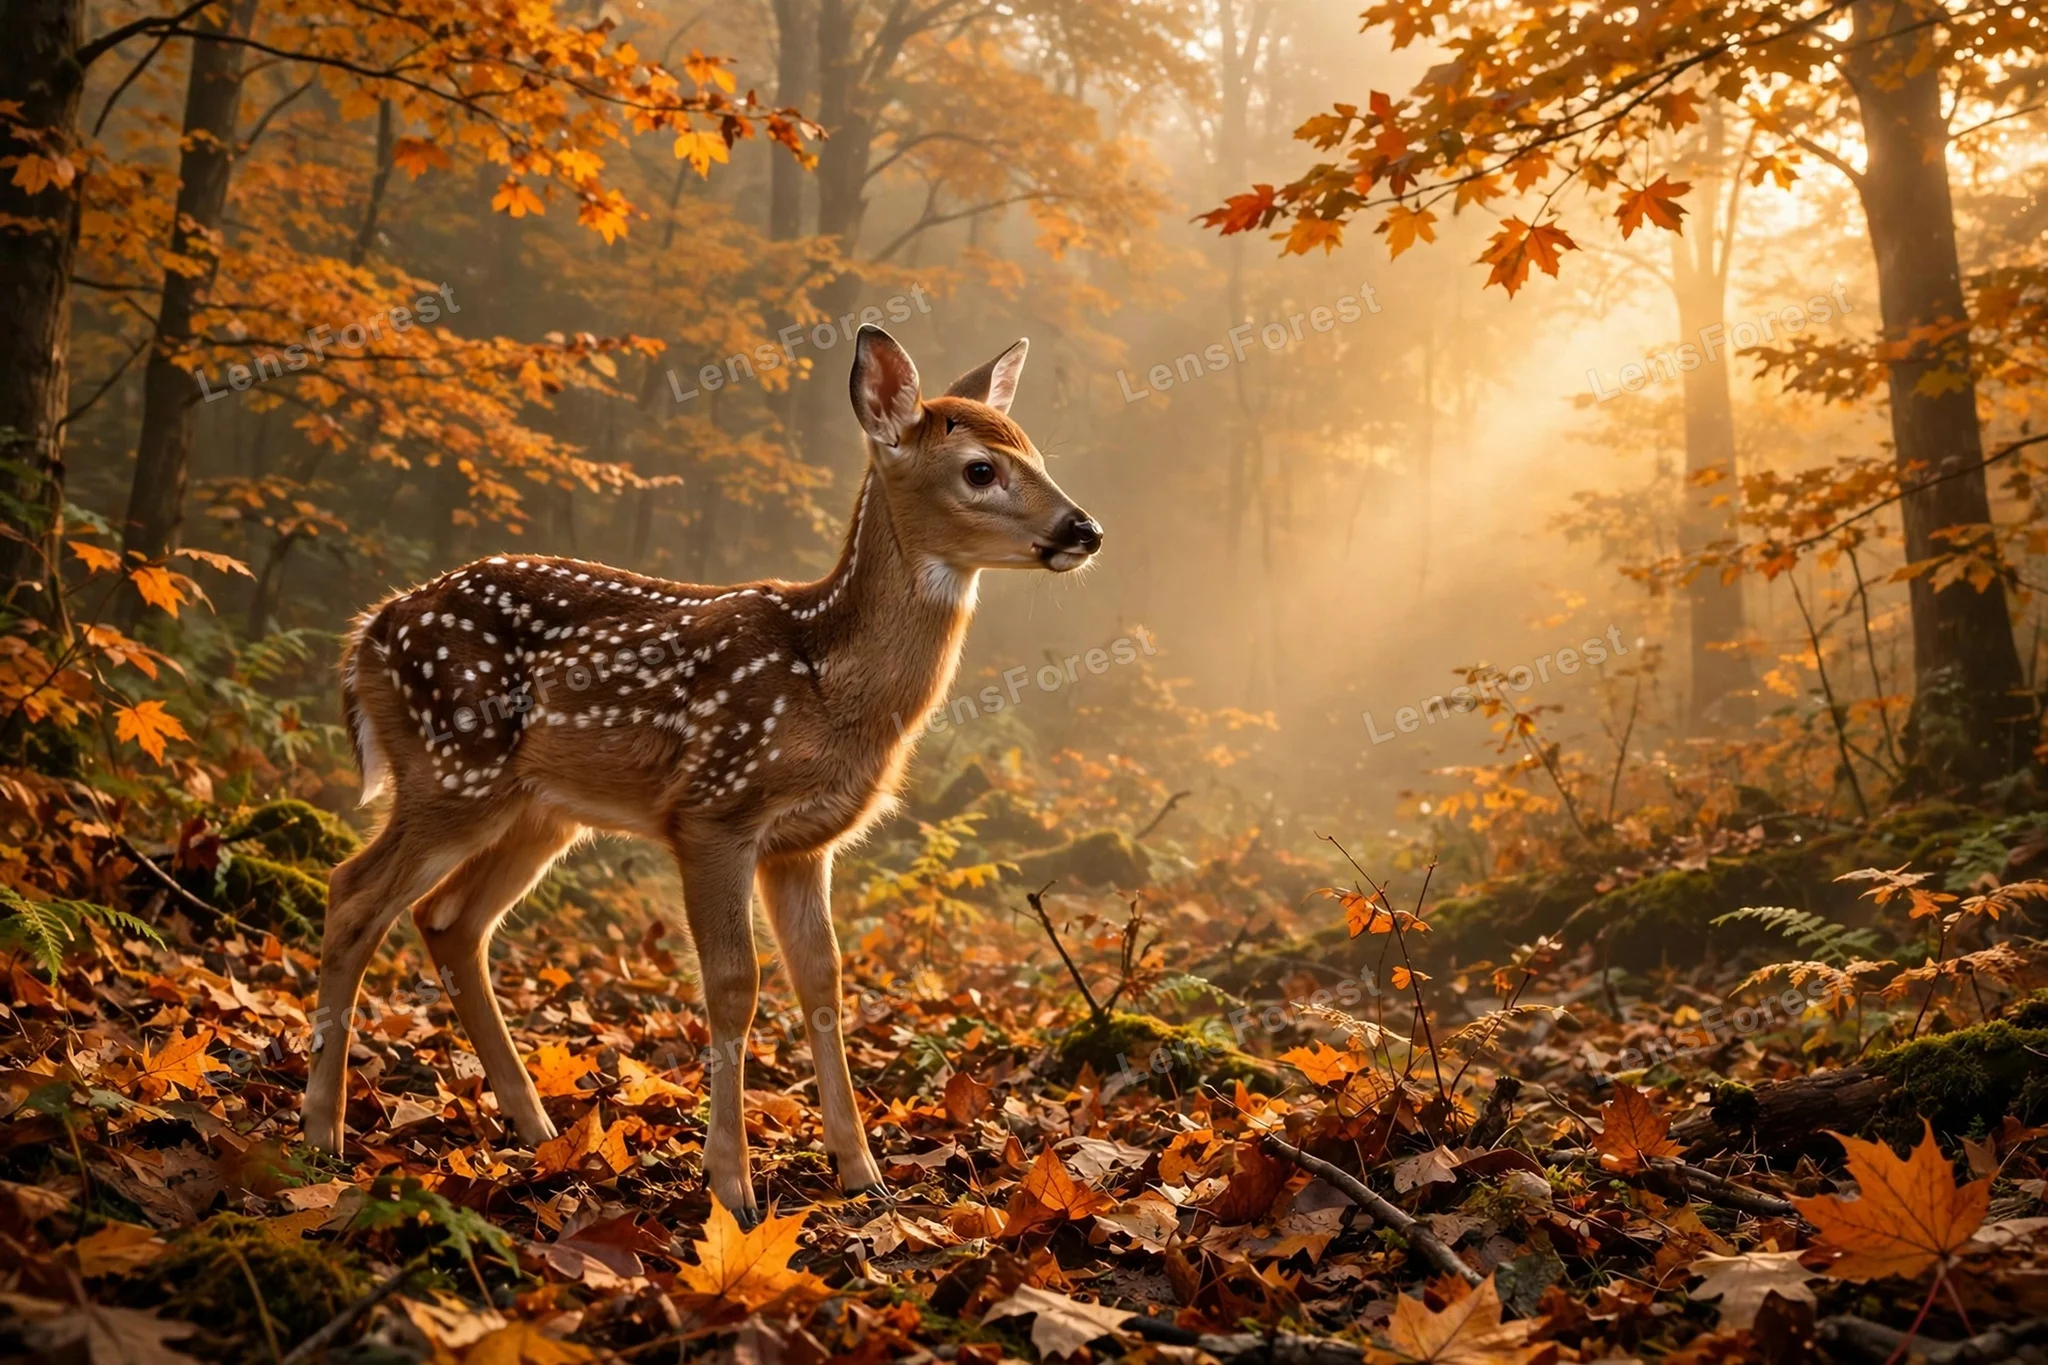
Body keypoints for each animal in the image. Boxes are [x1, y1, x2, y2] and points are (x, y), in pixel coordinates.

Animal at [302, 326, 1102, 1221]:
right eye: (979, 469)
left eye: (1035, 452)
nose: (1085, 528)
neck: (826, 679)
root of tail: (369, 631)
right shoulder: (715, 809)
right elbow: (733, 984)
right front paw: (733, 1185)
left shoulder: (805, 844)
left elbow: (823, 985)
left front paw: (863, 1172)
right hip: (451, 766)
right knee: (353, 891)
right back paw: (322, 1131)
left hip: (539, 808)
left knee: (448, 919)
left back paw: (537, 1127)